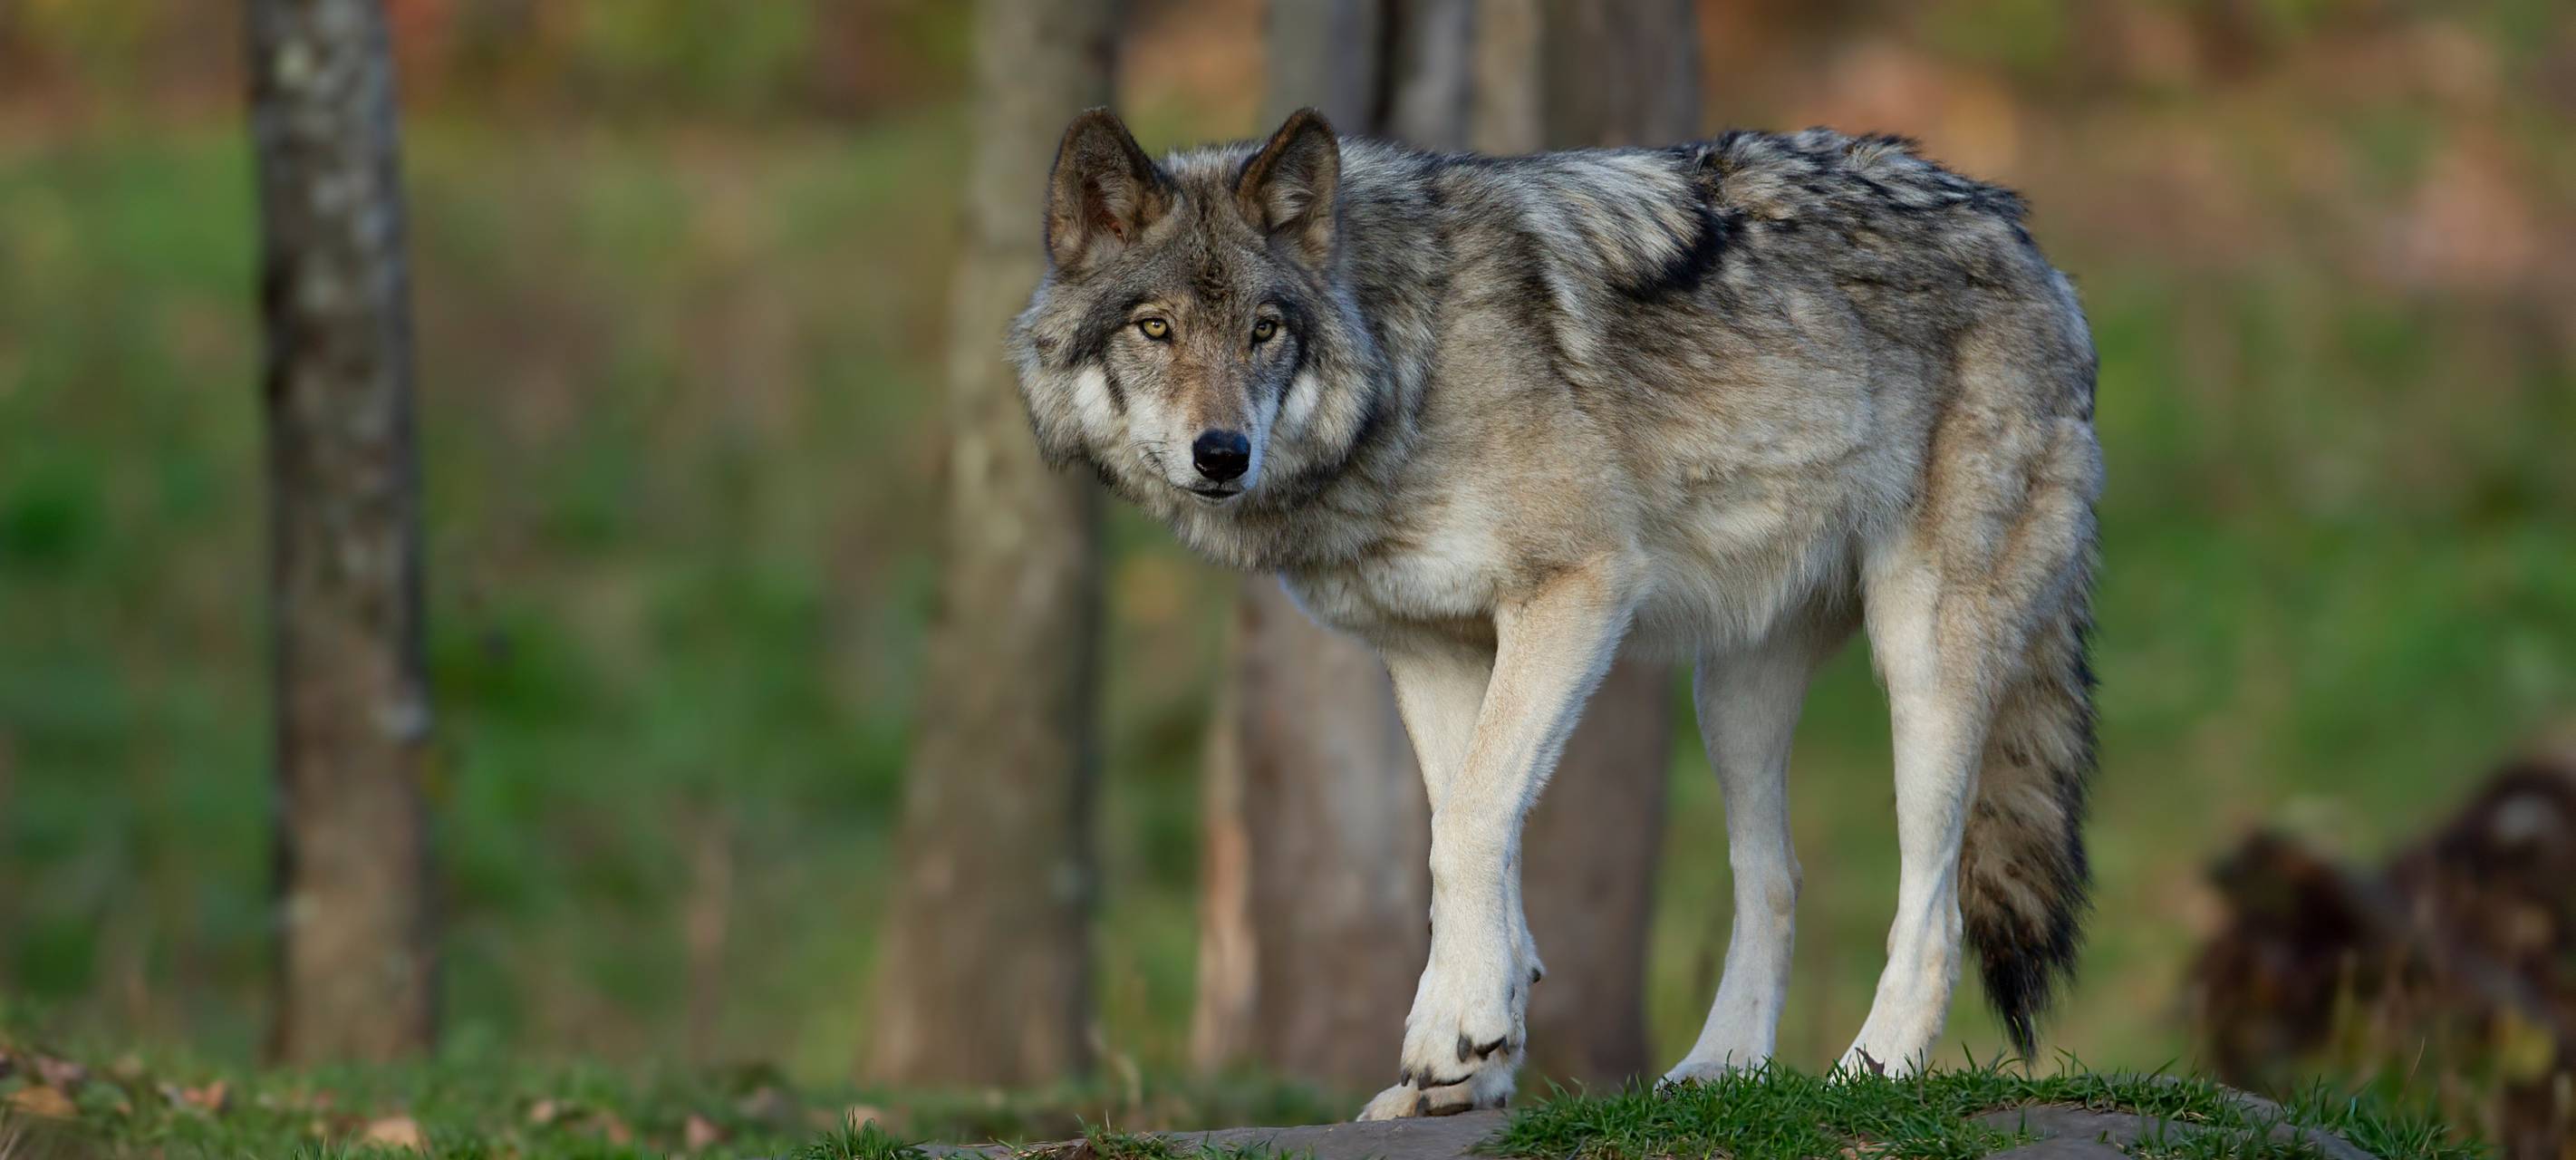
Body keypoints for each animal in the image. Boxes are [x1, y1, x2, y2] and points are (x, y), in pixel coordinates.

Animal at [1010, 107, 2101, 1120]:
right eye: (1154, 328)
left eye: (1263, 330)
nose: (1222, 452)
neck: (1409, 364)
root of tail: (2026, 238)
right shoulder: (1432, 649)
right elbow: (1469, 830)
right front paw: (1476, 1047)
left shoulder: (1578, 590)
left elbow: (1469, 824)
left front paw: (1450, 1029)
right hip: (1730, 697)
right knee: (1774, 878)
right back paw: (1717, 1070)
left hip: (1923, 663)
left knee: (1932, 905)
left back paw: (1870, 1071)